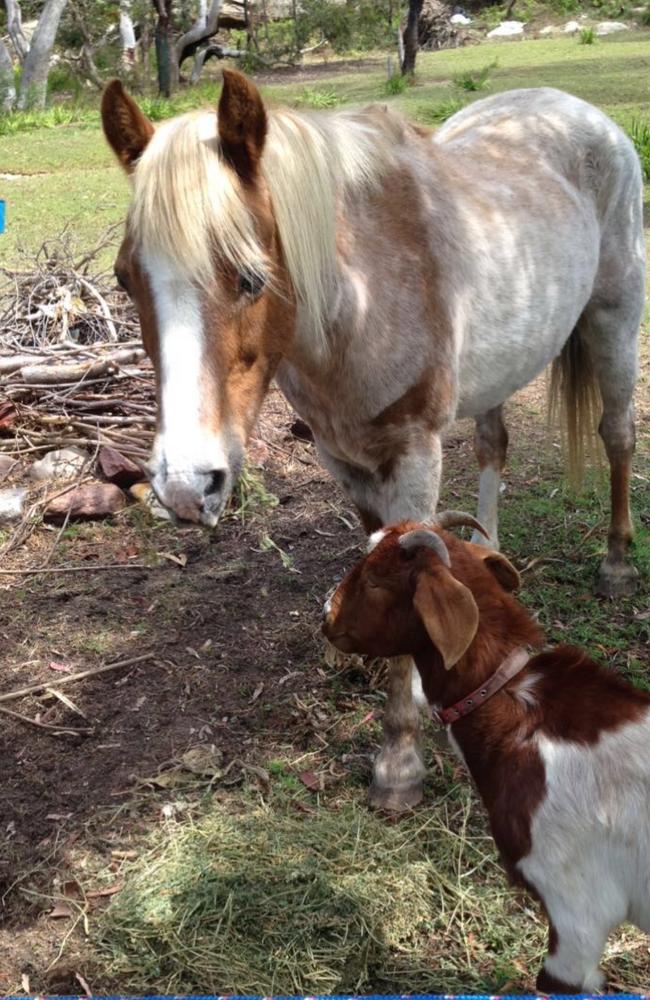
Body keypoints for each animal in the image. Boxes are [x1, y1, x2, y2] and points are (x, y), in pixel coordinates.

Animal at [101, 74, 644, 816]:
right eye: (125, 279)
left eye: (249, 276)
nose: (186, 485)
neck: (360, 296)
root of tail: (576, 107)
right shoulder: (345, 459)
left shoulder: (412, 455)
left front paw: (399, 763)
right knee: (494, 446)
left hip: (615, 318)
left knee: (617, 436)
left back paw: (616, 565)